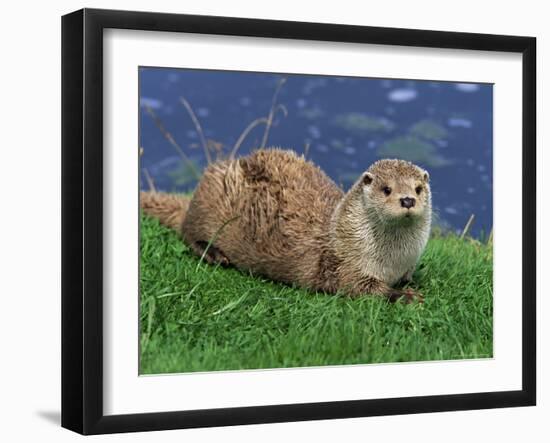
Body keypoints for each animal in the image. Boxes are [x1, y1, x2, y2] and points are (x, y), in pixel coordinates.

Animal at [141, 148, 432, 302]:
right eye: (386, 189)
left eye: (418, 188)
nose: (407, 199)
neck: (392, 262)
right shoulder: (344, 265)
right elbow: (362, 289)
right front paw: (406, 296)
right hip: (210, 199)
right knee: (188, 231)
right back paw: (214, 254)